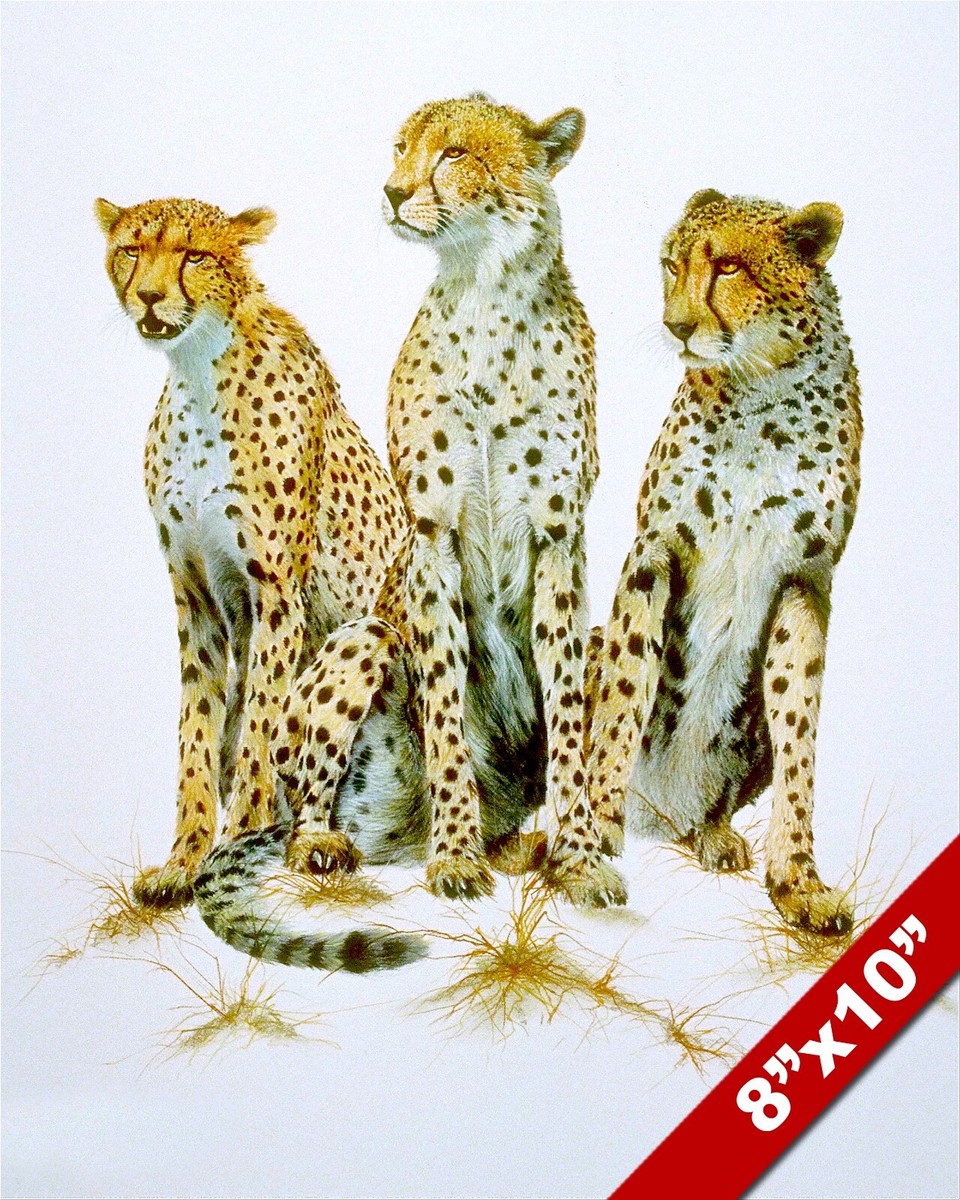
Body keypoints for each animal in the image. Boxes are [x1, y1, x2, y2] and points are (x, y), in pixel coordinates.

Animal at [96, 196, 406, 910]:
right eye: (131, 249)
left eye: (194, 256)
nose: (148, 296)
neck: (197, 370)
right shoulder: (197, 599)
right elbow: (199, 732)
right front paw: (182, 863)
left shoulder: (277, 595)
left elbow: (260, 728)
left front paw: (235, 843)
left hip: (373, 636)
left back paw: (315, 842)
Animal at [194, 94, 625, 972]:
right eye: (400, 149)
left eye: (455, 153)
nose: (391, 193)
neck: (487, 292)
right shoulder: (431, 537)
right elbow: (447, 703)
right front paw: (456, 856)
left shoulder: (561, 540)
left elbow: (568, 714)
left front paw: (579, 858)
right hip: (362, 641)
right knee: (305, 790)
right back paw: (336, 844)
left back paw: (521, 843)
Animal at [585, 189, 862, 935]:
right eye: (671, 265)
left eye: (730, 267)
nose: (676, 326)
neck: (759, 393)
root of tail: (661, 818)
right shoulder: (652, 550)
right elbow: (623, 697)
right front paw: (588, 837)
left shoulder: (806, 578)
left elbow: (800, 740)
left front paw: (798, 883)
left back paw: (710, 833)